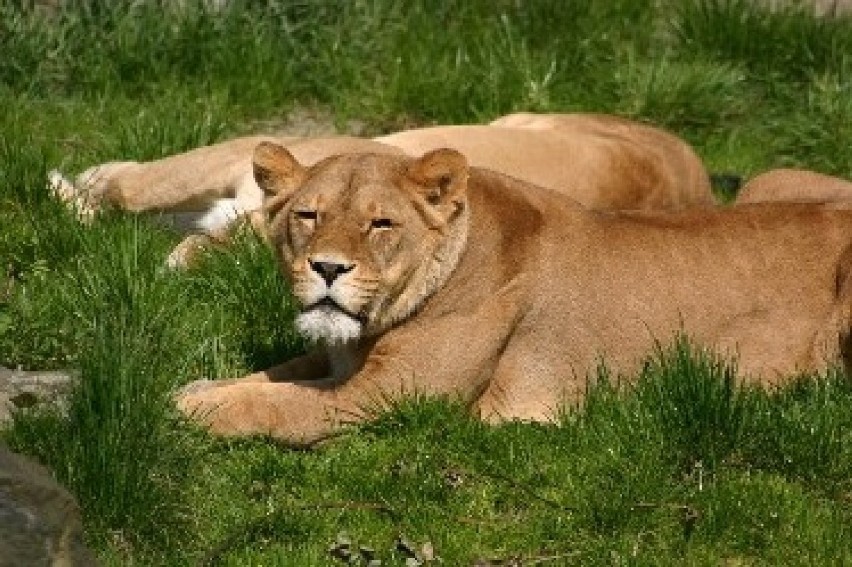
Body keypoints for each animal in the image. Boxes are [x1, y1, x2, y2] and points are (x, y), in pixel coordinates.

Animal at [176, 144, 852, 446]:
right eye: (309, 215)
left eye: (380, 224)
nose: (327, 268)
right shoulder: (341, 361)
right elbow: (275, 375)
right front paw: (203, 385)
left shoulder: (388, 397)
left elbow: (277, 407)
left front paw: (190, 410)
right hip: (769, 180)